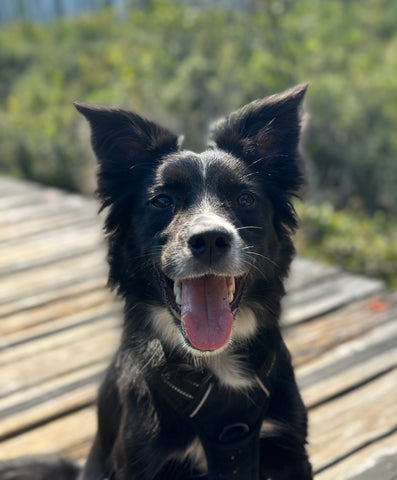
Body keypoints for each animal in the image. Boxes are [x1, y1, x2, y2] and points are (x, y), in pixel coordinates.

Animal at [0, 84, 312, 478]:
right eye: (162, 201)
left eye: (245, 198)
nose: (210, 239)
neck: (215, 367)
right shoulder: (143, 458)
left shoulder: (289, 449)